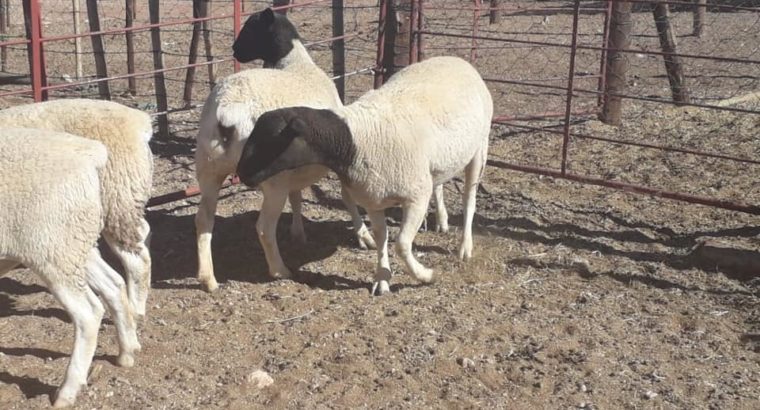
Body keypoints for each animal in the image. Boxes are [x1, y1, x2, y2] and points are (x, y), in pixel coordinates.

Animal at [0, 128, 141, 408]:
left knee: (88, 313)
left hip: (52, 248)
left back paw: (67, 390)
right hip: (75, 243)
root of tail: (89, 153)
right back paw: (126, 352)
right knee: (114, 284)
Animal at [195, 7, 374, 291]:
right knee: (264, 227)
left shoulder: (297, 166)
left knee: (203, 220)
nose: (235, 50)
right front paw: (364, 236)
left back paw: (208, 279)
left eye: (251, 27)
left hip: (209, 168)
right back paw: (279, 270)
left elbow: (298, 196)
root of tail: (227, 110)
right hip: (271, 179)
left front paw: (298, 233)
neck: (295, 63)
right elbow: (347, 195)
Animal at [236, 56, 493, 295]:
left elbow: (401, 244)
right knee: (439, 183)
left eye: (271, 141)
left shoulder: (415, 197)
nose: (241, 174)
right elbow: (382, 237)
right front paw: (382, 279)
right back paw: (441, 220)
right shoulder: (373, 198)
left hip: (480, 147)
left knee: (469, 200)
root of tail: (457, 60)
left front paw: (426, 275)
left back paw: (465, 247)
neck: (357, 138)